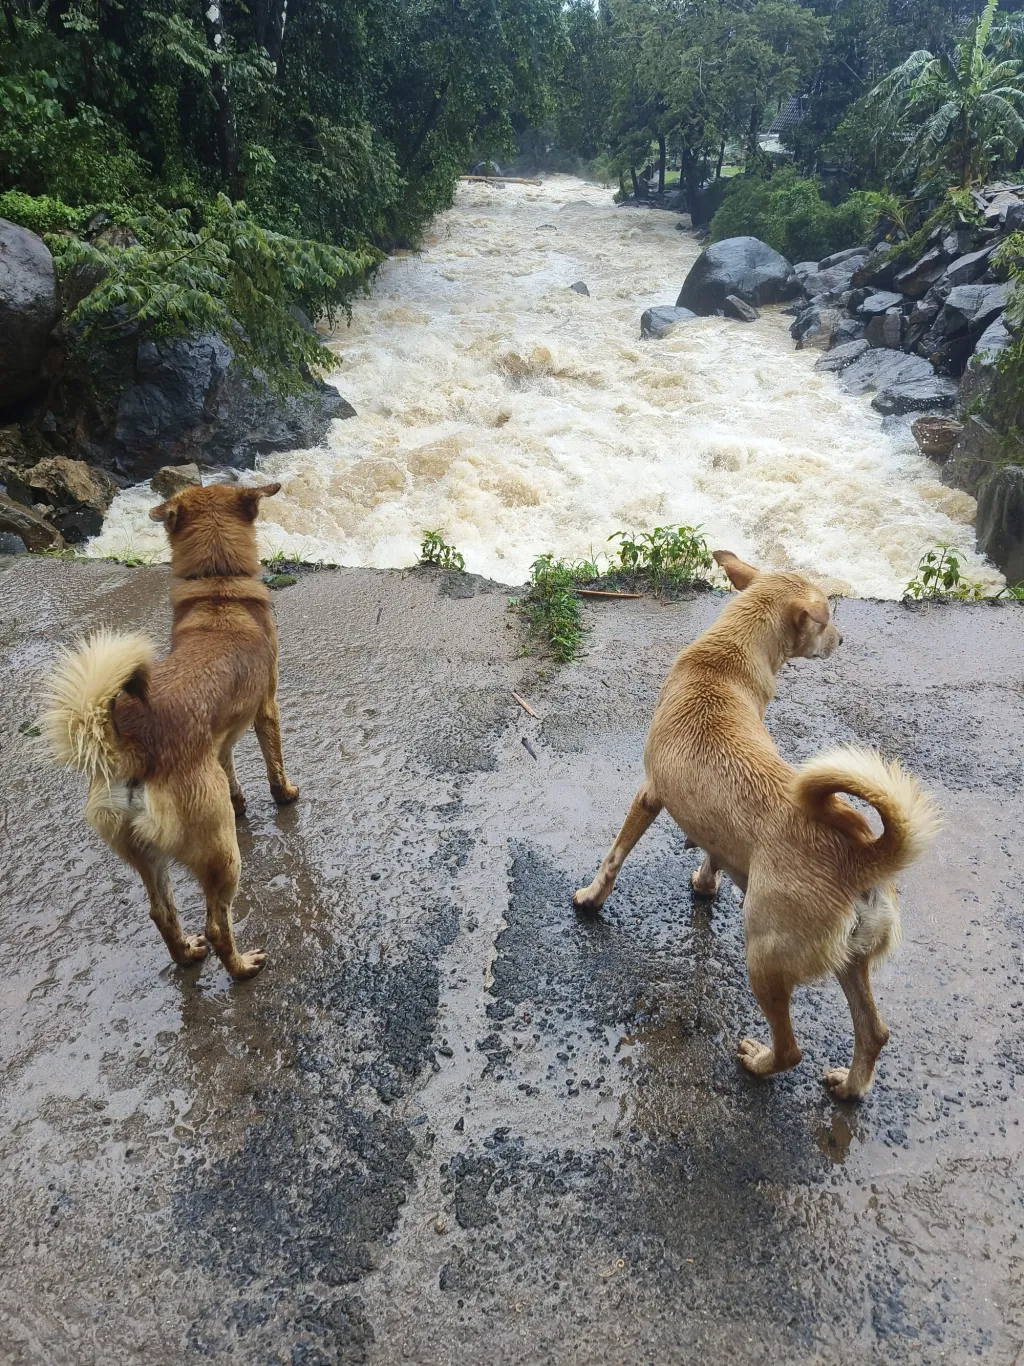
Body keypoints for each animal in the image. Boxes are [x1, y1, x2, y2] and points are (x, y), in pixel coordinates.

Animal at [44, 480, 300, 983]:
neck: (218, 589)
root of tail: (126, 744)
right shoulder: (266, 708)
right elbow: (274, 764)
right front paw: (285, 795)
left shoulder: (219, 742)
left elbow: (231, 770)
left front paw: (240, 801)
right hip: (222, 855)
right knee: (218, 925)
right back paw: (241, 967)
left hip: (147, 856)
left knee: (161, 912)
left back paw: (186, 954)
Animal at [573, 549, 944, 1092]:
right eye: (827, 622)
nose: (842, 640)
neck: (726, 660)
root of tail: (865, 854)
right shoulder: (708, 822)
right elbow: (712, 851)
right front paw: (705, 882)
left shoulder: (648, 793)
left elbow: (614, 856)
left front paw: (591, 899)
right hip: (850, 960)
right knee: (874, 1032)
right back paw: (850, 1087)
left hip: (765, 957)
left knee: (792, 1048)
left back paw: (759, 1062)